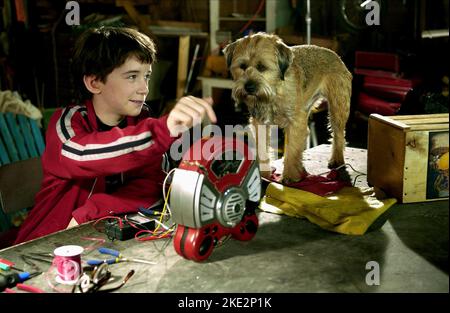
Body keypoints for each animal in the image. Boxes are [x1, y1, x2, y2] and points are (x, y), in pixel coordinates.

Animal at [223, 32, 354, 182]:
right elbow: (262, 148)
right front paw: (263, 173)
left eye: (262, 67)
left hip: (337, 108)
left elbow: (292, 149)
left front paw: (290, 176)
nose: (249, 87)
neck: (274, 92)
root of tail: (336, 56)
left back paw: (337, 160)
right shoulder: (260, 124)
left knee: (338, 134)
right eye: (243, 66)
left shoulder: (295, 122)